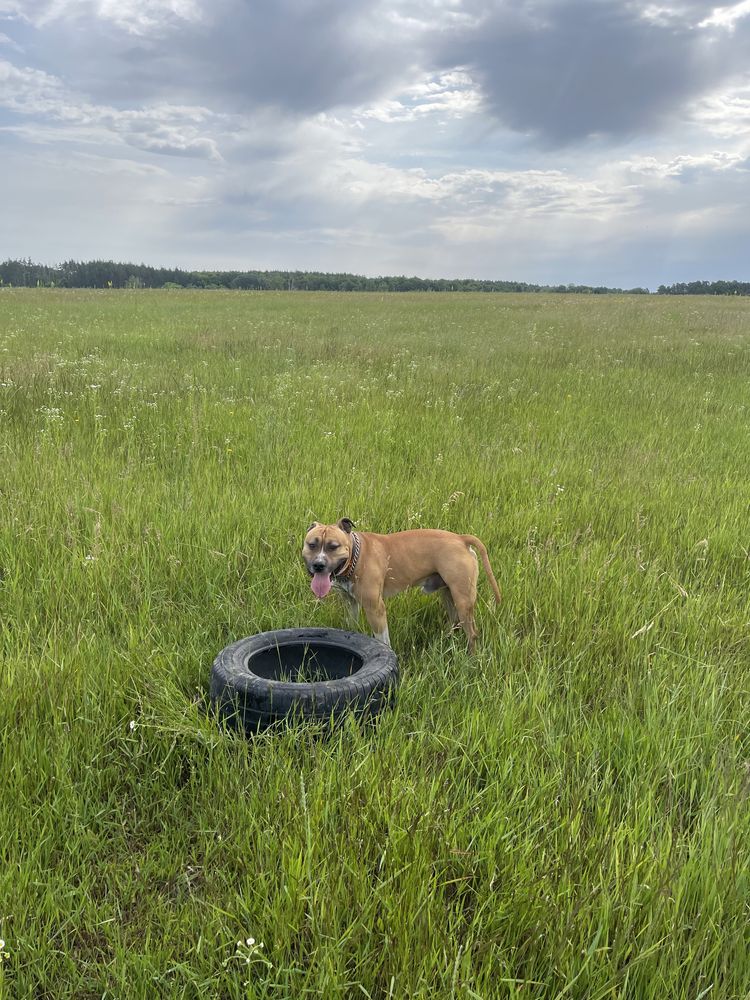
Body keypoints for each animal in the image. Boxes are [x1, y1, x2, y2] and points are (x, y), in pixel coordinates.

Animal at [302, 520, 502, 652]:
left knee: (472, 633)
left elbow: (382, 639)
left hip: (463, 598)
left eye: (333, 546)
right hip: (448, 593)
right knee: (454, 621)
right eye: (311, 545)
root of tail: (461, 539)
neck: (355, 558)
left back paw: (471, 659)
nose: (318, 565)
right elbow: (351, 625)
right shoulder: (351, 603)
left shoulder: (375, 608)